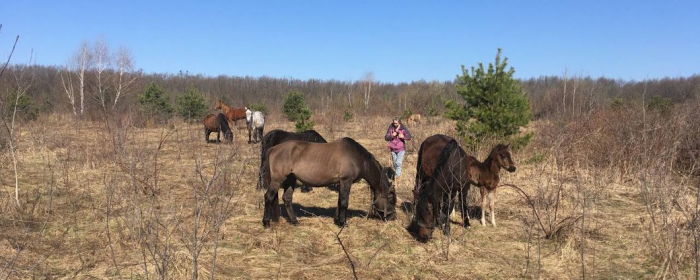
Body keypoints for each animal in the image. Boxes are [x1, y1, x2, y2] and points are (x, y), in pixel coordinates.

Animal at [262, 137, 396, 228]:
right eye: (390, 199)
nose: (393, 217)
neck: (358, 158)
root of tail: (273, 148)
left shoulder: (341, 182)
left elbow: (339, 201)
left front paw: (337, 220)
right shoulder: (346, 181)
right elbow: (344, 203)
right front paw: (343, 223)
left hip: (291, 179)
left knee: (287, 198)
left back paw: (295, 221)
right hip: (277, 180)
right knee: (268, 197)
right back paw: (266, 222)